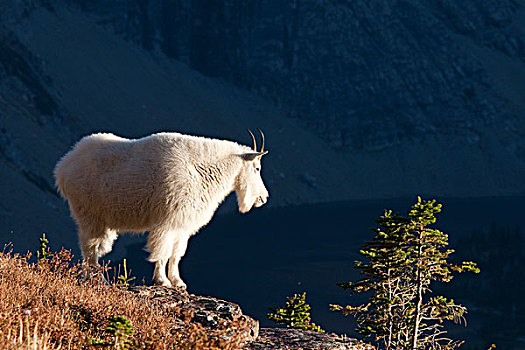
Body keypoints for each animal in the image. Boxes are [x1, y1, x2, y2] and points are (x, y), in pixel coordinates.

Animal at [54, 130, 268, 288]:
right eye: (257, 168)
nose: (263, 198)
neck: (200, 170)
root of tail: (64, 167)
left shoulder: (182, 224)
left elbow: (176, 254)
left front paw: (178, 282)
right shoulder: (167, 221)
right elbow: (162, 252)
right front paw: (162, 281)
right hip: (90, 215)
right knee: (90, 248)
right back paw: (99, 280)